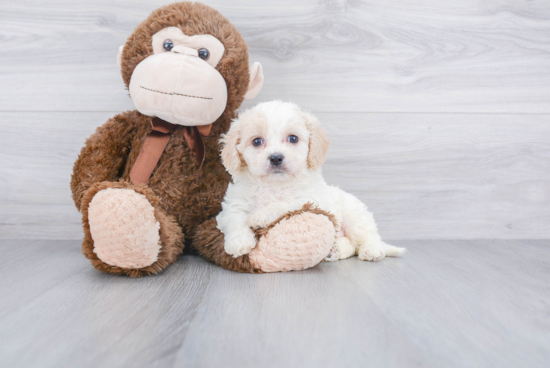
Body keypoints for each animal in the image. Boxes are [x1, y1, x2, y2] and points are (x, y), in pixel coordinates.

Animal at [216, 100, 406, 262]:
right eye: (256, 141)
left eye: (293, 138)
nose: (276, 158)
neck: (275, 186)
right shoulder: (234, 204)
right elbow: (235, 217)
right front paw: (239, 242)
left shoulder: (311, 200)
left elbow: (286, 203)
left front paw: (260, 215)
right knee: (351, 245)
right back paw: (334, 251)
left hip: (356, 219)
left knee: (368, 238)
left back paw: (371, 250)